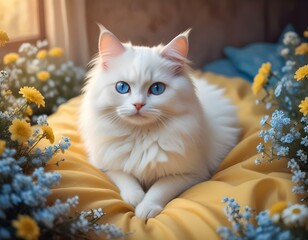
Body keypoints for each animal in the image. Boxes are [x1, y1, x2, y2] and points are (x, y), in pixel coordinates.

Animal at [79, 24, 238, 219]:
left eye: (156, 89)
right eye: (122, 87)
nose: (138, 104)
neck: (140, 136)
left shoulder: (190, 174)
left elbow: (159, 188)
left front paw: (144, 209)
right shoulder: (106, 166)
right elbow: (126, 178)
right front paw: (135, 199)